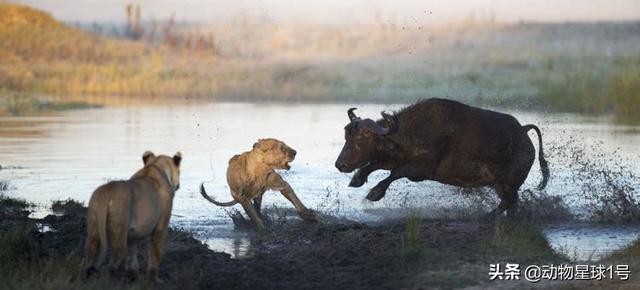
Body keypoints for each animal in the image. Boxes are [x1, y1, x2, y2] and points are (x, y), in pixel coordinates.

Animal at [336, 98, 552, 216]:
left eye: (362, 138)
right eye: (347, 135)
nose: (340, 164)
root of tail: (523, 131)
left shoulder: (421, 170)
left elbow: (395, 173)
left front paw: (374, 193)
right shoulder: (393, 158)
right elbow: (374, 164)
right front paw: (357, 179)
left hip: (509, 184)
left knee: (509, 203)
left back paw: (485, 217)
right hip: (500, 185)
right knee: (511, 204)